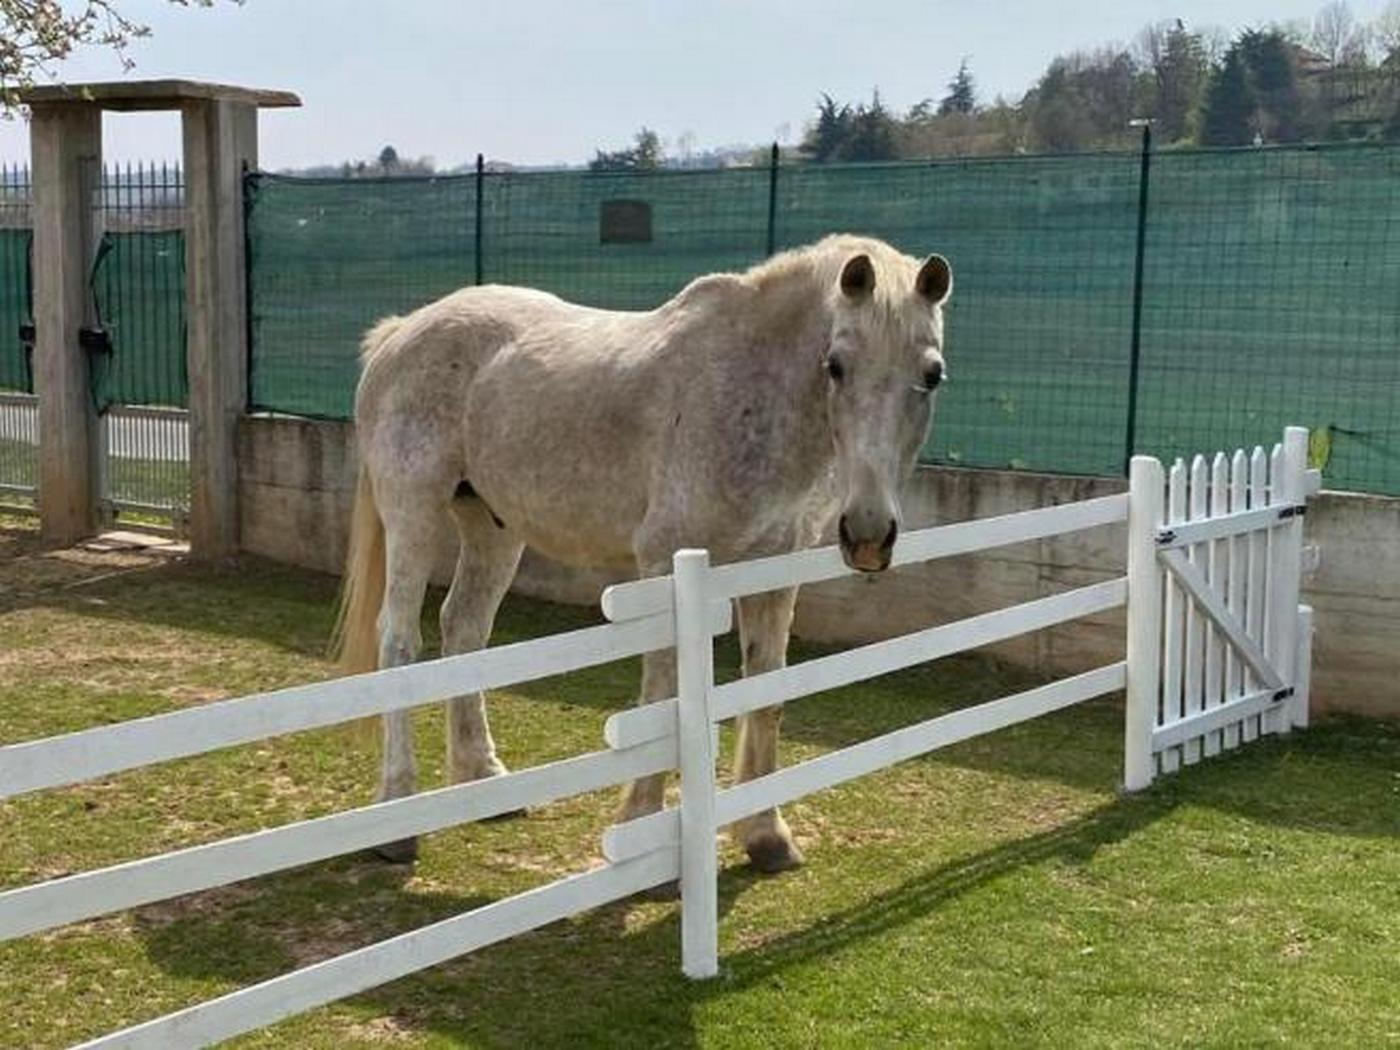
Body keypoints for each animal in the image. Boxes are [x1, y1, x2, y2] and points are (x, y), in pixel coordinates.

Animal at [333, 233, 957, 873]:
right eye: (836, 365)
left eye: (932, 375)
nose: (868, 533)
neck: (747, 391)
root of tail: (401, 332)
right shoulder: (666, 563)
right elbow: (663, 696)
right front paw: (640, 829)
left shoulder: (771, 573)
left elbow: (766, 692)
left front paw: (767, 837)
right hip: (413, 511)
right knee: (400, 642)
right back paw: (396, 819)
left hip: (493, 527)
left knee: (464, 629)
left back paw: (483, 780)